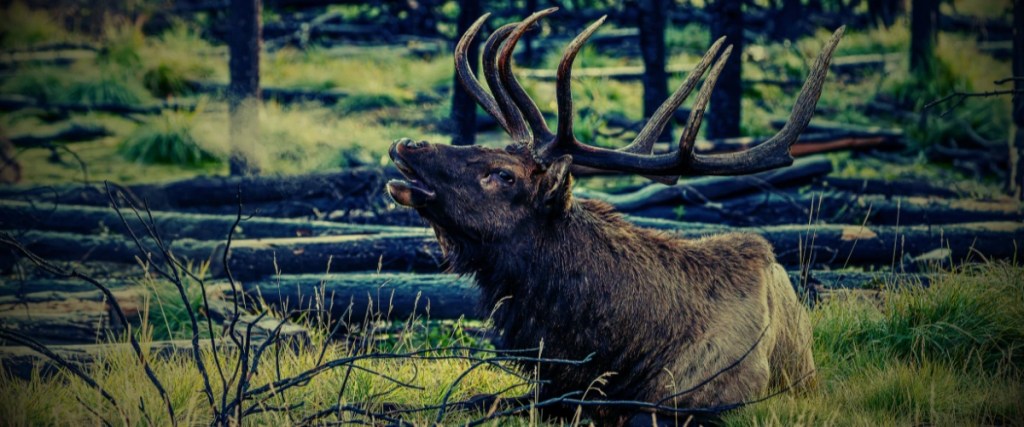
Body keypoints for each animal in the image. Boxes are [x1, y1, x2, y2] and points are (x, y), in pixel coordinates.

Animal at [386, 8, 843, 425]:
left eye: (503, 174)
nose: (407, 144)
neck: (618, 354)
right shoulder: (555, 388)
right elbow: (477, 400)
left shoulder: (717, 404)